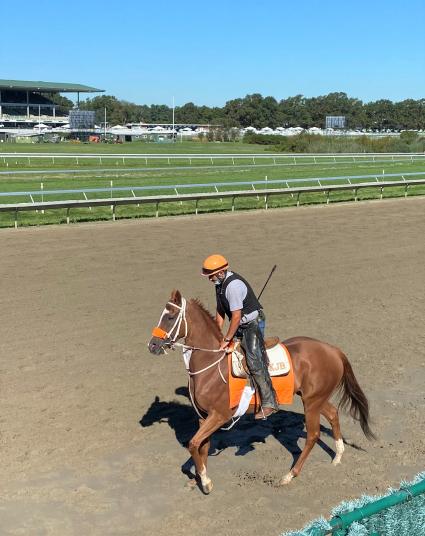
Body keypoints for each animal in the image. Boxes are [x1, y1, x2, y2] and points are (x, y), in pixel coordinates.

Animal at [147, 288, 372, 494]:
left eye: (170, 317)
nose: (152, 345)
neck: (211, 363)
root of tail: (332, 349)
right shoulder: (203, 417)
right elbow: (201, 446)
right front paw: (198, 479)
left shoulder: (219, 416)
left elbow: (193, 444)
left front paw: (206, 481)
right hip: (314, 398)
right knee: (333, 414)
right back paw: (338, 456)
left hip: (312, 402)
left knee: (313, 435)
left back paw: (289, 475)